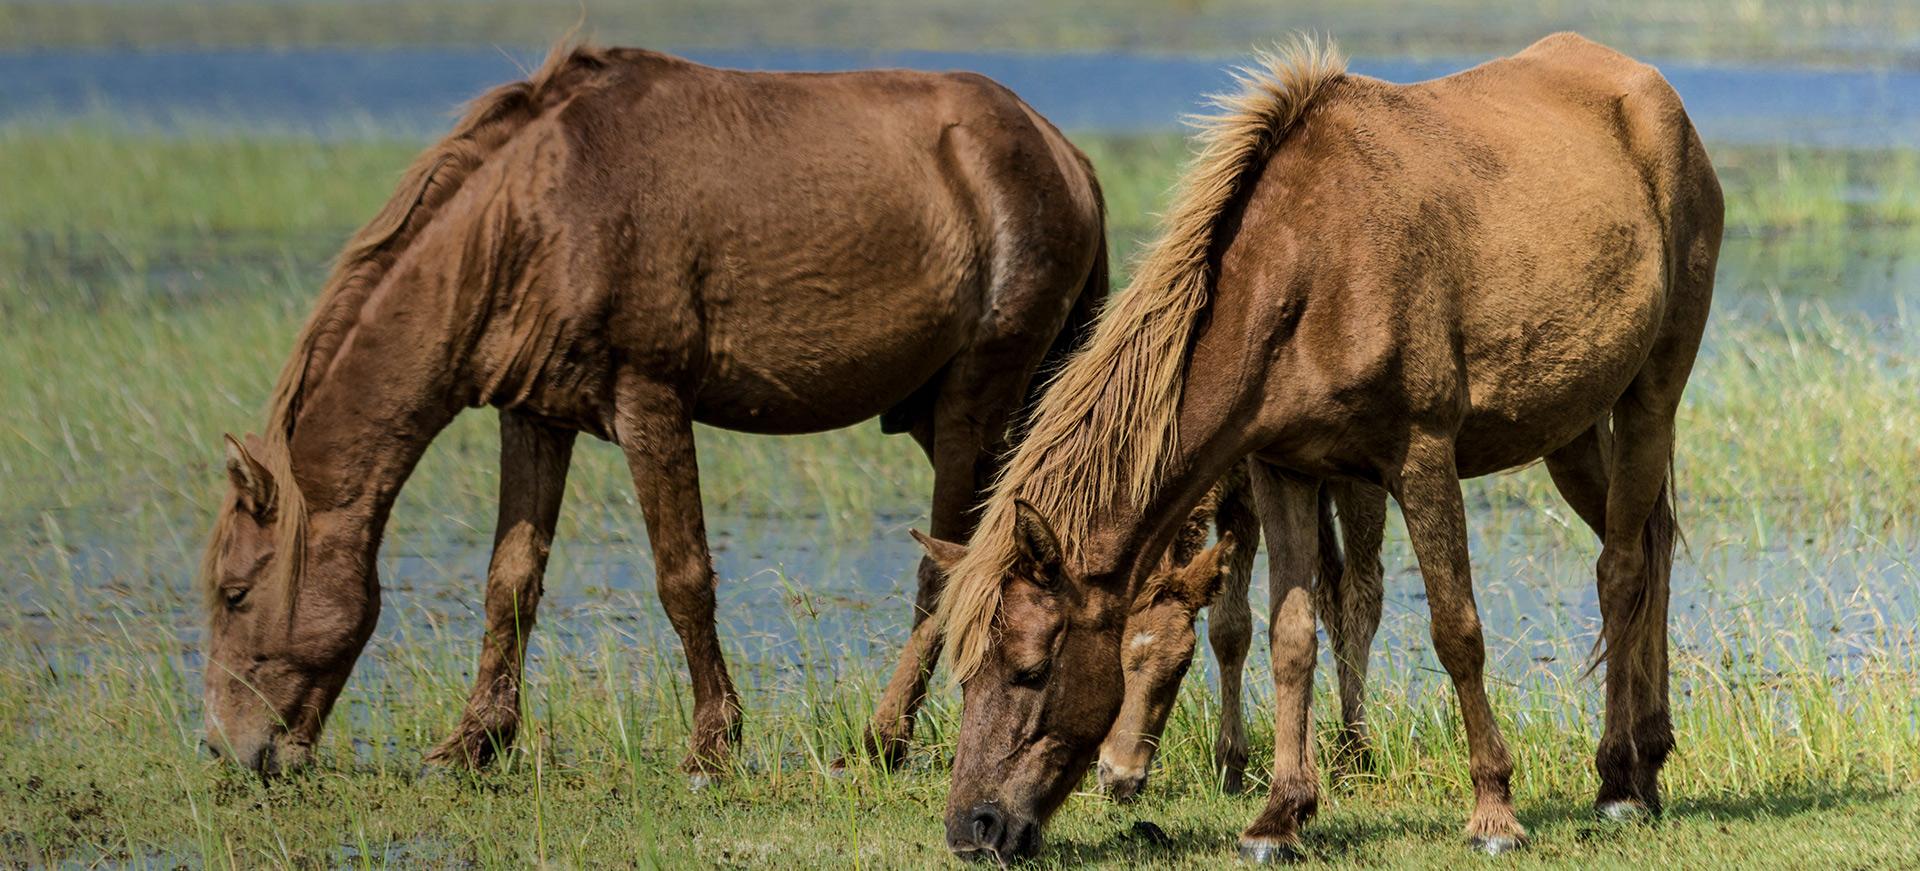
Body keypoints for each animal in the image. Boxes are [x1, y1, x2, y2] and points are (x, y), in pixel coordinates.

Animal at [196, 41, 1109, 779]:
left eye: (236, 594)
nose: (226, 747)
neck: (537, 212)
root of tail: (1061, 152)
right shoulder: (536, 419)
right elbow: (510, 582)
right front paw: (475, 740)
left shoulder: (649, 402)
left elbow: (684, 578)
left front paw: (713, 742)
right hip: (947, 412)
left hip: (973, 404)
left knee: (945, 566)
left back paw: (883, 739)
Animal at [923, 33, 1721, 862]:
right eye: (963, 670)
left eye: (1031, 669)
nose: (973, 827)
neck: (1309, 265)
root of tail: (1654, 94)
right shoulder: (1285, 469)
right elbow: (1290, 636)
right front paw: (1280, 814)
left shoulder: (1421, 458)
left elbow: (1455, 629)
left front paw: (1493, 810)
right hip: (1571, 428)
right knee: (1653, 542)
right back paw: (1651, 756)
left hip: (1651, 395)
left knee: (1622, 569)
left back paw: (1620, 779)